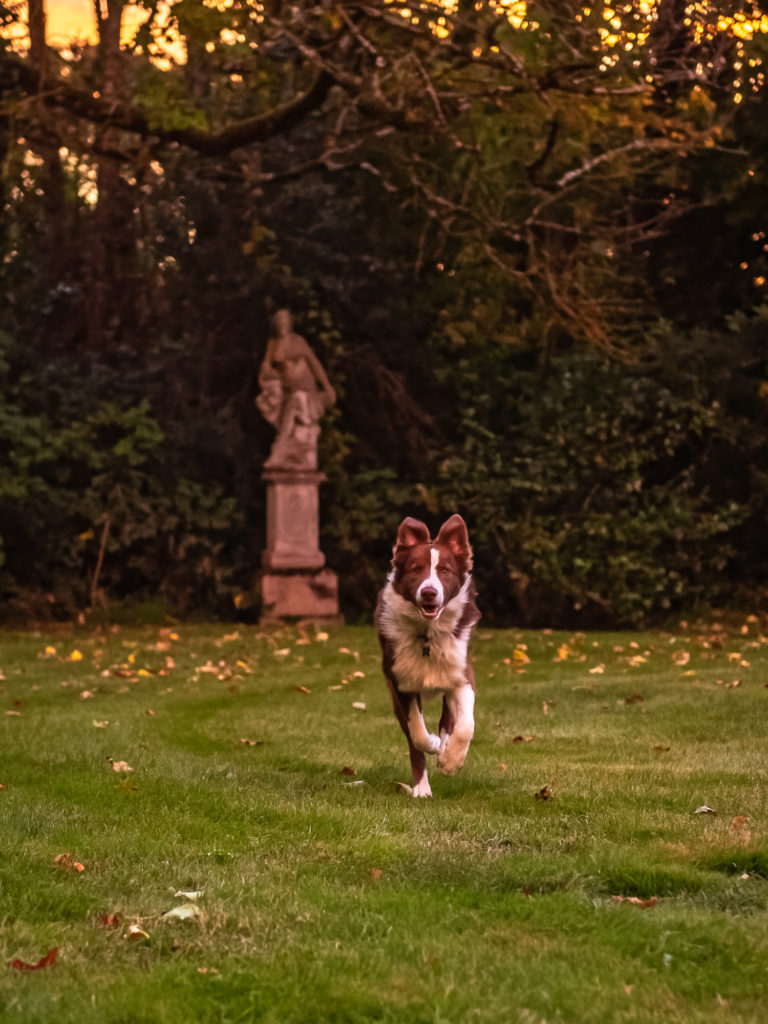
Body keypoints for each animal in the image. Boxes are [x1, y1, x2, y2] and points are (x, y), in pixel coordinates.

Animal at [374, 516, 481, 794]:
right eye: (416, 570)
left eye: (444, 571)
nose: (429, 592)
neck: (428, 634)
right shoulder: (400, 681)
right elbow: (417, 733)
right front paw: (433, 745)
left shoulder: (462, 674)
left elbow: (466, 726)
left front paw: (451, 761)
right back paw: (422, 788)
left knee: (449, 719)